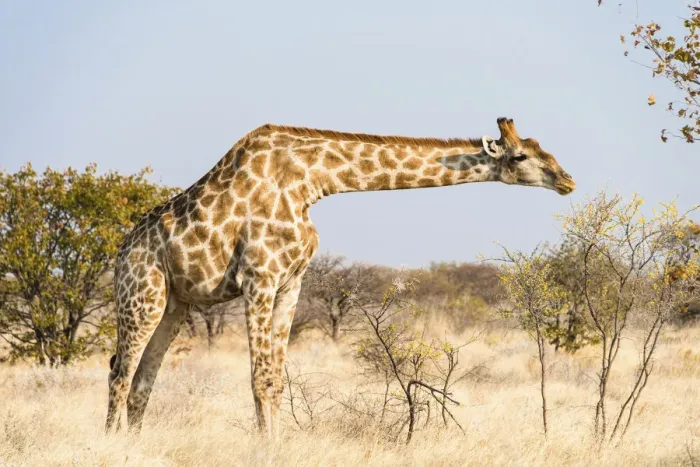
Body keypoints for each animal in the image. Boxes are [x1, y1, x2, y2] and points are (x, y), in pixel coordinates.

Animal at [105, 117, 576, 437]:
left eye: (542, 147)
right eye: (521, 156)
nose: (568, 180)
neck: (311, 181)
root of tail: (122, 251)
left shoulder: (290, 282)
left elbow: (275, 380)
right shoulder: (259, 278)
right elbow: (259, 379)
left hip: (175, 304)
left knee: (142, 379)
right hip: (141, 294)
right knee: (119, 372)